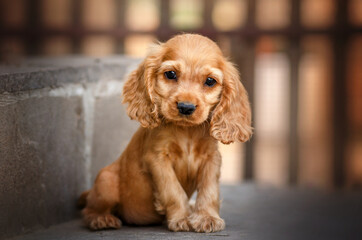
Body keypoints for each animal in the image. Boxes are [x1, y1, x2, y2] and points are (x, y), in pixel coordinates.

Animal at [79, 33, 252, 232]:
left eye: (210, 81)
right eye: (171, 74)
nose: (186, 107)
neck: (187, 132)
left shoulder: (212, 158)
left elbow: (209, 189)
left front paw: (207, 217)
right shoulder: (157, 158)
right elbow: (173, 190)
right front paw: (182, 218)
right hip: (105, 181)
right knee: (89, 208)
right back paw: (100, 219)